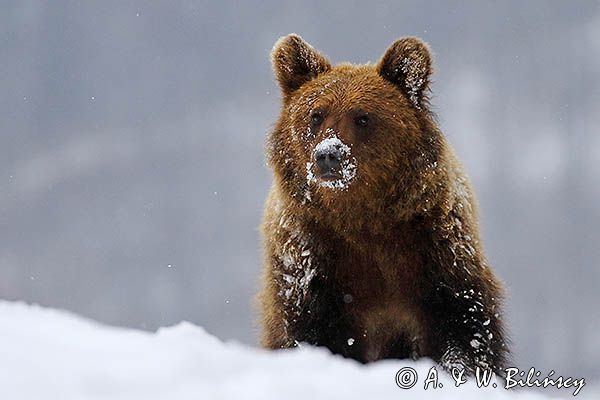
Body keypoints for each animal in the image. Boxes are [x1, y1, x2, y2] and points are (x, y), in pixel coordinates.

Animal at [260, 34, 508, 376]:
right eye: (316, 114)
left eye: (362, 117)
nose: (328, 155)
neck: (364, 218)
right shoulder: (312, 261)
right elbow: (314, 330)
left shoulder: (435, 249)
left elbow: (464, 324)